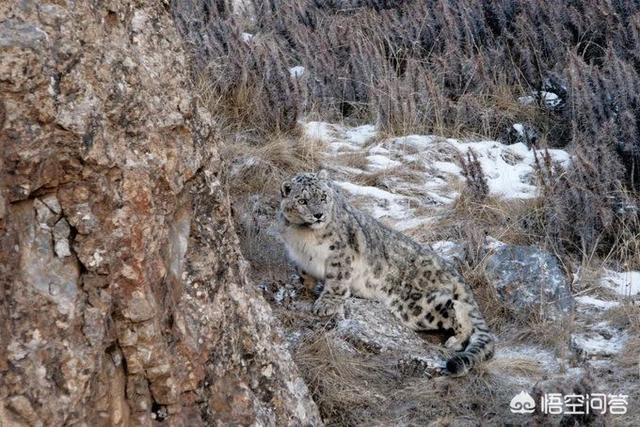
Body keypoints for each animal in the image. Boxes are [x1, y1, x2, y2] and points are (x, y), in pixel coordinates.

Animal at [278, 169, 496, 376]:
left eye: (323, 196)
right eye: (303, 201)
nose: (318, 215)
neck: (303, 236)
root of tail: (451, 269)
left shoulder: (341, 254)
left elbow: (337, 281)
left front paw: (326, 304)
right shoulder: (300, 257)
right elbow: (304, 274)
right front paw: (301, 287)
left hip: (416, 305)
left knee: (458, 308)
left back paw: (456, 340)